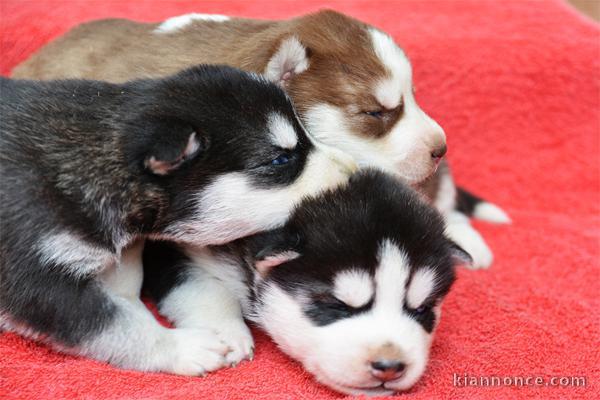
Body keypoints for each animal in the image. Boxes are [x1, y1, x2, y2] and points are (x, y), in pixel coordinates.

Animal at [143, 169, 472, 394]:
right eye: (338, 306)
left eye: (422, 309)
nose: (389, 367)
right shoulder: (170, 245)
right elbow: (200, 288)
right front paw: (226, 332)